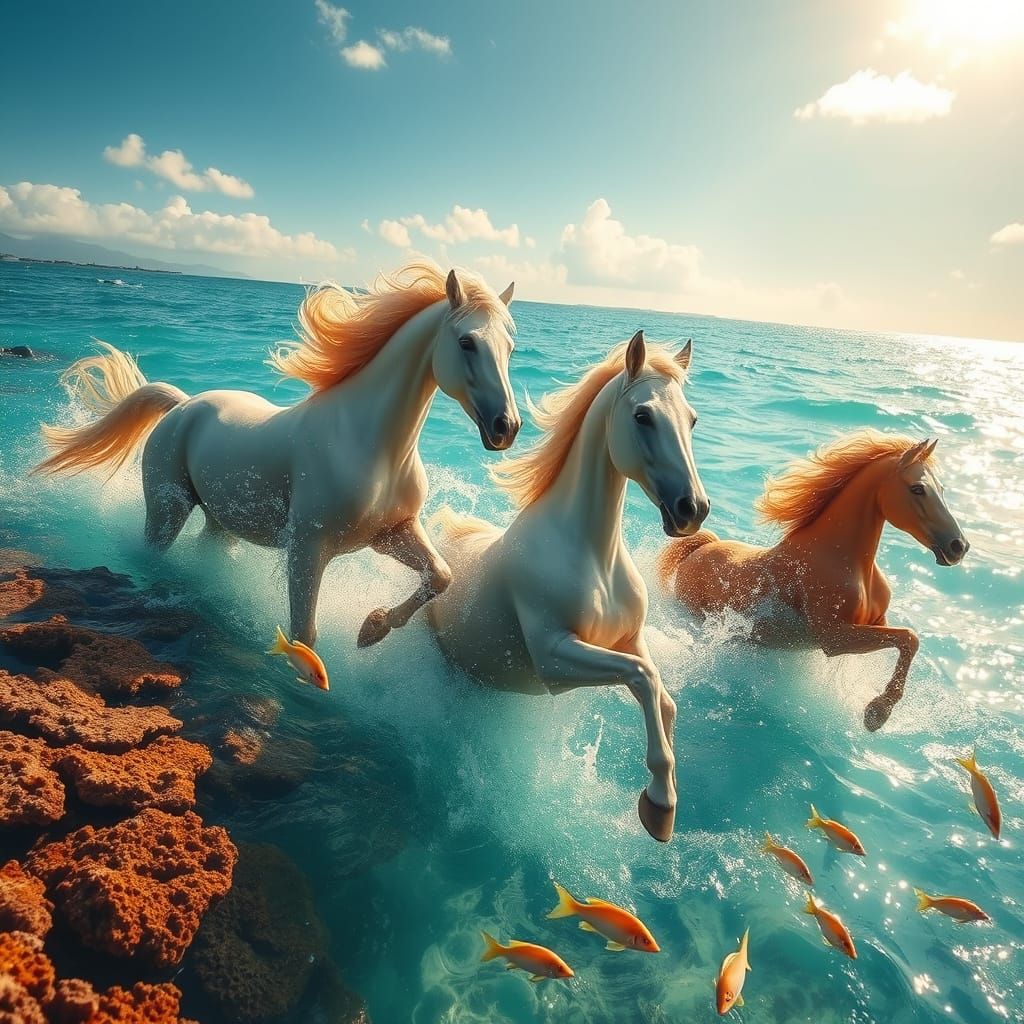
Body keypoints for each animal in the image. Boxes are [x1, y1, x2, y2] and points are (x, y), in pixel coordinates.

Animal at [35, 262, 521, 649]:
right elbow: (304, 633)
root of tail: (182, 405)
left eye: (511, 347)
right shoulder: (307, 547)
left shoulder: (393, 533)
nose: (506, 427)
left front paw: (372, 629)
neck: (367, 444)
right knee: (151, 550)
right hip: (166, 508)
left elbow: (441, 575)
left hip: (221, 521)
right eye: (466, 343)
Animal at [428, 330, 709, 842]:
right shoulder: (554, 659)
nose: (692, 509)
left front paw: (663, 795)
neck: (593, 557)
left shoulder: (628, 639)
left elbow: (665, 700)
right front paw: (660, 805)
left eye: (692, 419)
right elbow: (644, 679)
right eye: (642, 416)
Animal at [657, 431, 969, 731]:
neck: (841, 560)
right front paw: (876, 714)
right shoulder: (834, 638)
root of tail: (701, 548)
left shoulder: (875, 622)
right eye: (918, 489)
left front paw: (877, 711)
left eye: (942, 489)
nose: (959, 546)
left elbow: (907, 641)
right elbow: (909, 637)